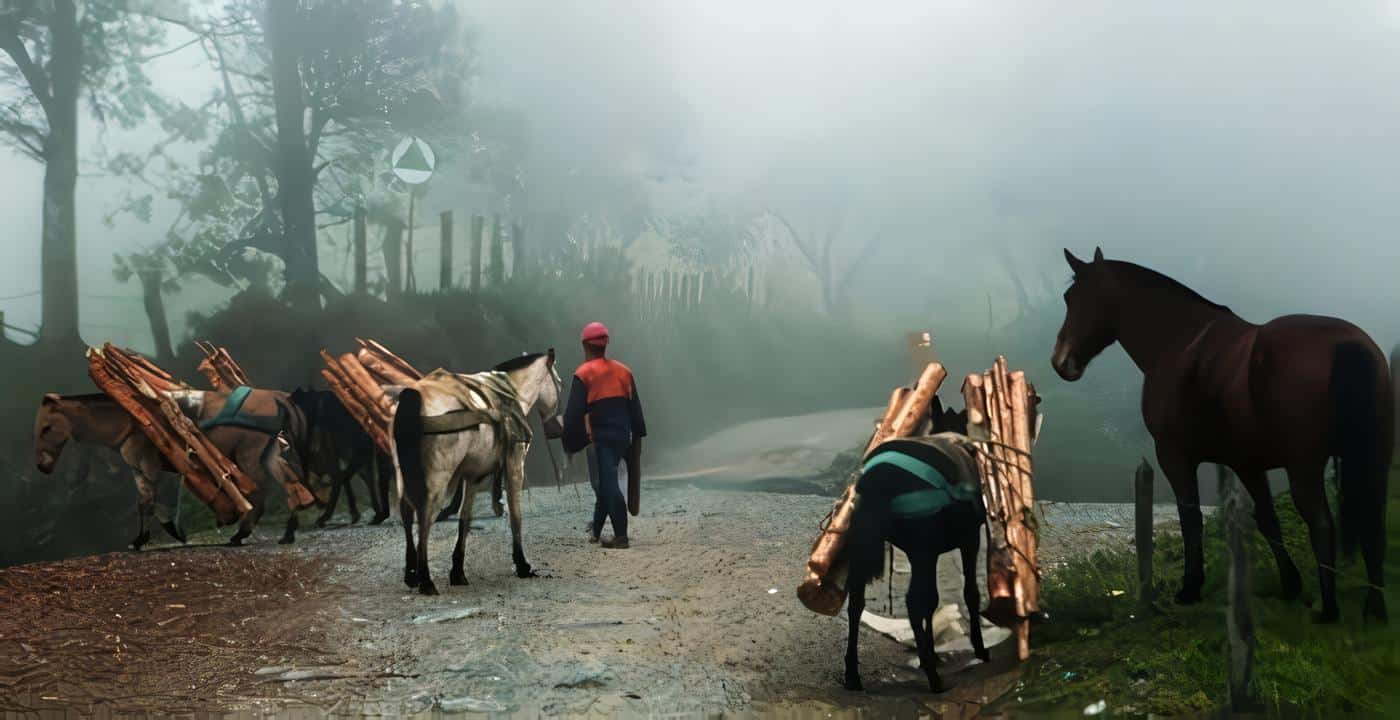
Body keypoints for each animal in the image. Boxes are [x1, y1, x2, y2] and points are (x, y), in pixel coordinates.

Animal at [389, 348, 562, 593]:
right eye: (559, 383)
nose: (557, 426)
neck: (509, 396)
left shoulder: (473, 476)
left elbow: (466, 518)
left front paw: (458, 572)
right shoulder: (514, 465)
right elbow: (516, 515)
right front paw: (522, 565)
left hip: (406, 475)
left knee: (406, 512)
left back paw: (412, 575)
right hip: (437, 478)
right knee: (424, 516)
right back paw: (426, 580)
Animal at [1052, 247, 1394, 621]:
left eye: (1073, 298)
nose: (1061, 362)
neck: (1180, 342)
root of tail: (1347, 345)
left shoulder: (1174, 456)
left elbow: (1191, 518)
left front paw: (1190, 587)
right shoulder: (1248, 464)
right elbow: (1267, 521)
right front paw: (1290, 584)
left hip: (1305, 469)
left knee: (1322, 524)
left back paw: (1329, 610)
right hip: (1372, 460)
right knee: (1373, 523)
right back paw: (1375, 606)